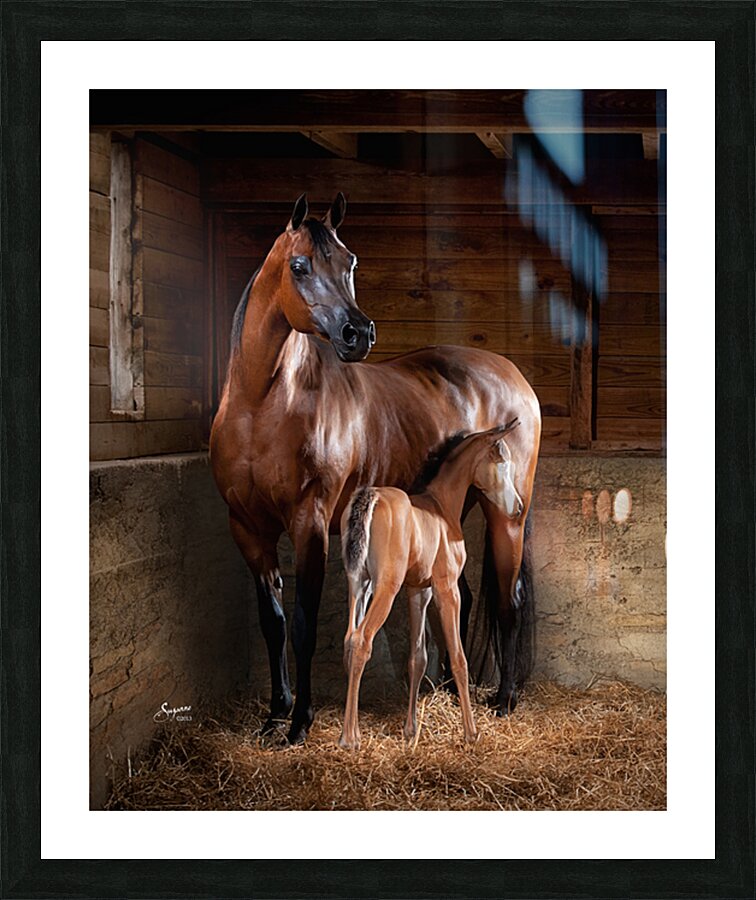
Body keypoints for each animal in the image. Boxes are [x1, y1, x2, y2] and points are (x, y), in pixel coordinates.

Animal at [338, 421, 523, 750]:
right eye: (502, 461)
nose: (517, 507)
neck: (441, 505)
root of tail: (370, 497)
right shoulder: (446, 589)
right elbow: (459, 658)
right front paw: (471, 732)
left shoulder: (418, 591)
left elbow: (418, 657)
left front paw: (410, 729)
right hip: (385, 588)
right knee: (361, 641)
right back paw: (349, 739)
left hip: (359, 585)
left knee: (349, 640)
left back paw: (354, 731)